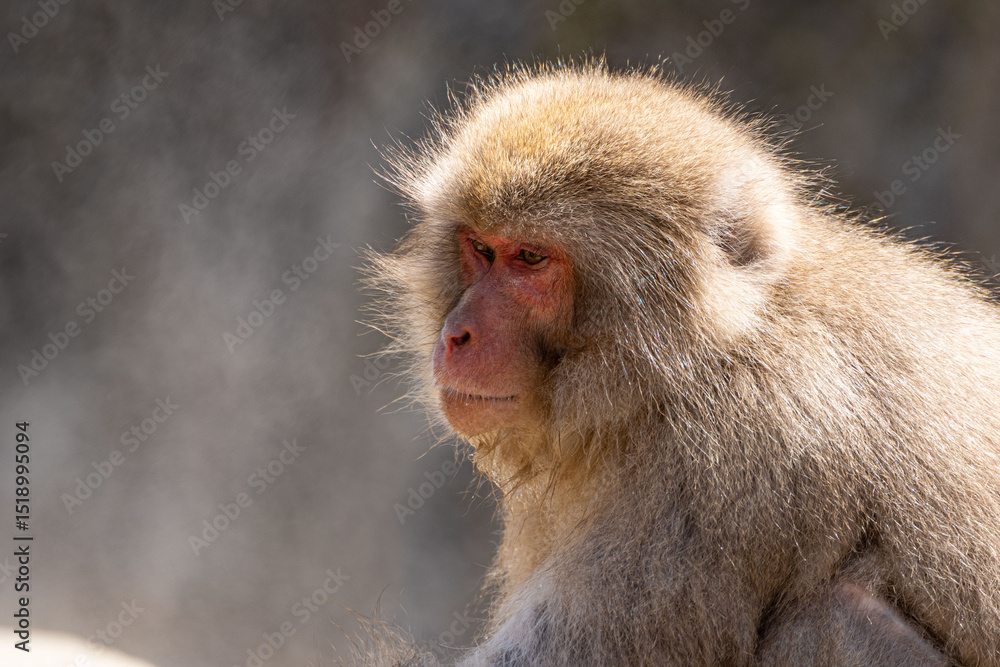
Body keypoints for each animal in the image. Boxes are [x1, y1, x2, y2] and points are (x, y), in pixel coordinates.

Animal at [362, 61, 1000, 666]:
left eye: (531, 258)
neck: (695, 359)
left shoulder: (725, 469)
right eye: (480, 249)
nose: (457, 334)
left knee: (832, 617)